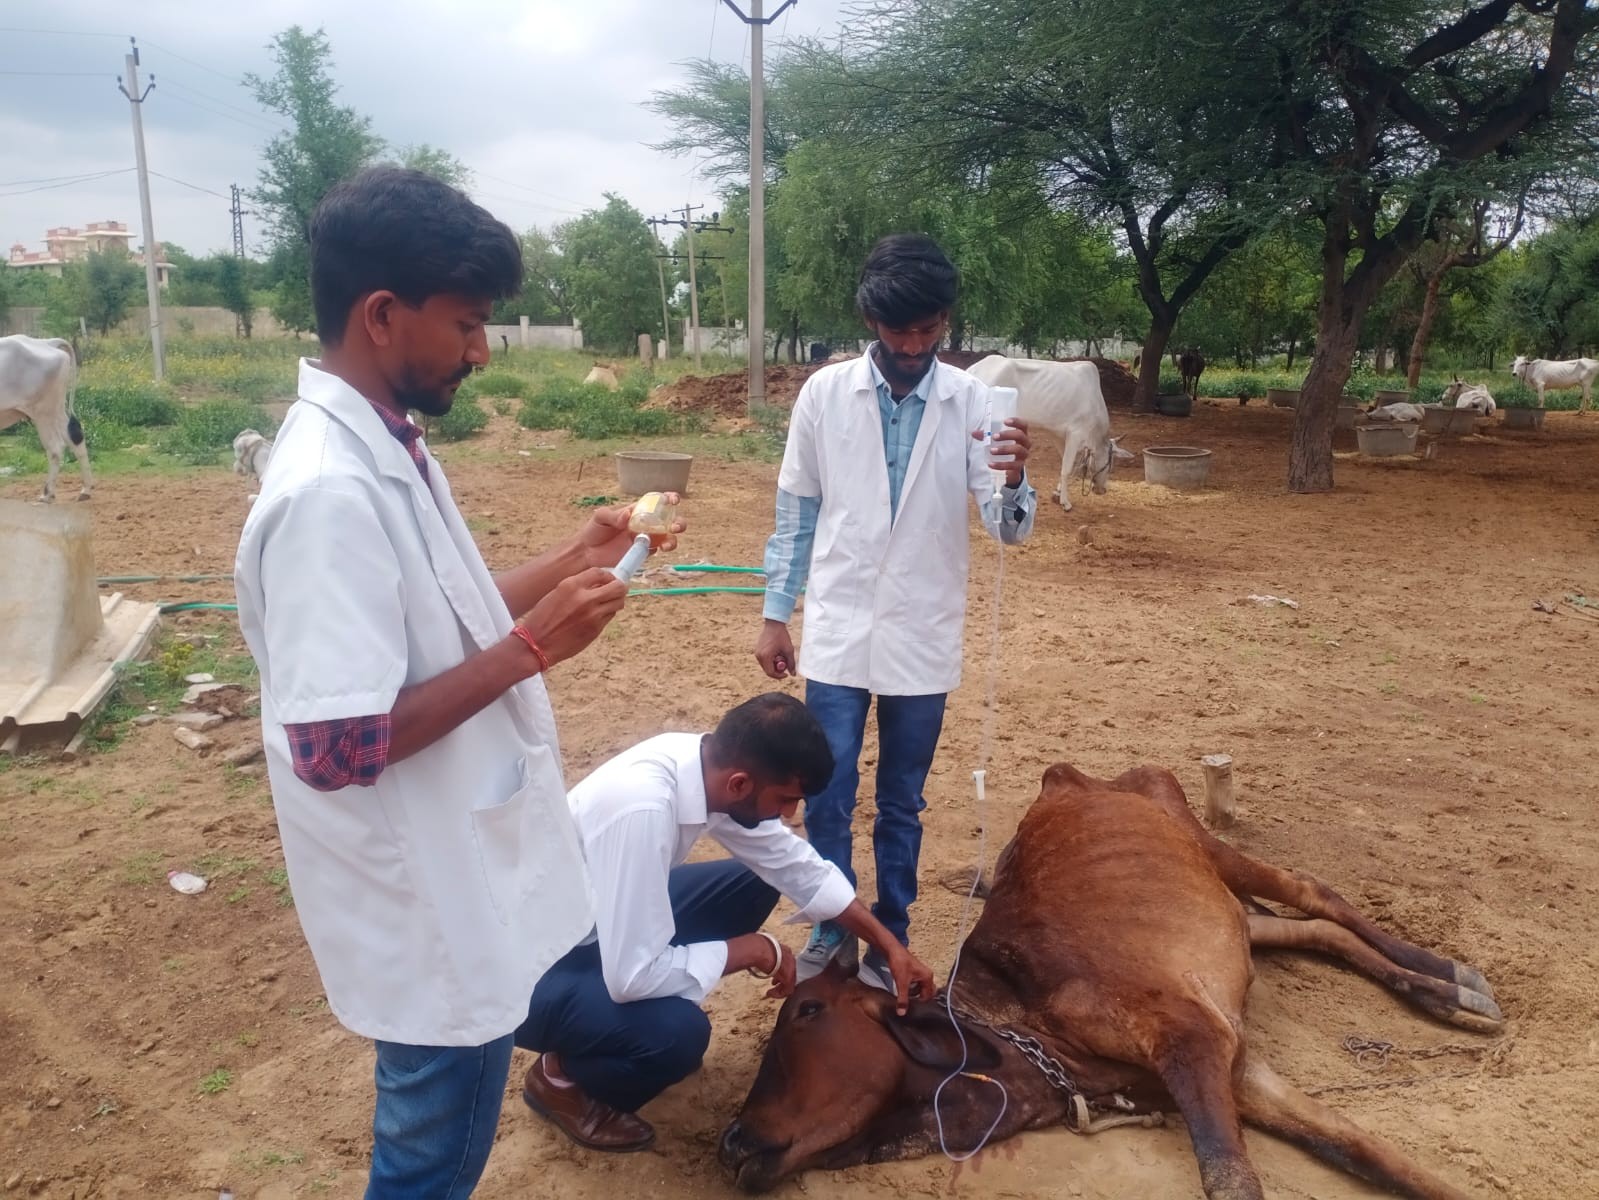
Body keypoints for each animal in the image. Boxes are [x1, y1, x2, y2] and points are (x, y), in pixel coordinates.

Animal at [0, 329, 91, 502]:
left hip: (42, 413)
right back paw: (85, 490)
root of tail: (46, 342)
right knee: (75, 438)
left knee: (55, 447)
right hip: (57, 410)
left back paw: (47, 493)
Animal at [725, 764, 1496, 1196]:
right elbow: (1374, 1155)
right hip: (1226, 915)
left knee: (1315, 893)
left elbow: (1232, 1178)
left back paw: (1450, 975)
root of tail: (1067, 777)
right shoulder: (1239, 1070)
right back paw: (1446, 990)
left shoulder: (1191, 1042)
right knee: (1311, 930)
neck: (1031, 1037)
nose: (733, 1140)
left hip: (1211, 846)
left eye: (808, 1011)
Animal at [959, 355, 1138, 508]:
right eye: (1111, 463)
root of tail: (972, 370)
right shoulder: (1076, 432)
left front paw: (1057, 494)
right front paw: (1065, 502)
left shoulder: (1058, 434)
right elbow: (1067, 468)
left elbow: (1067, 464)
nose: (1102, 490)